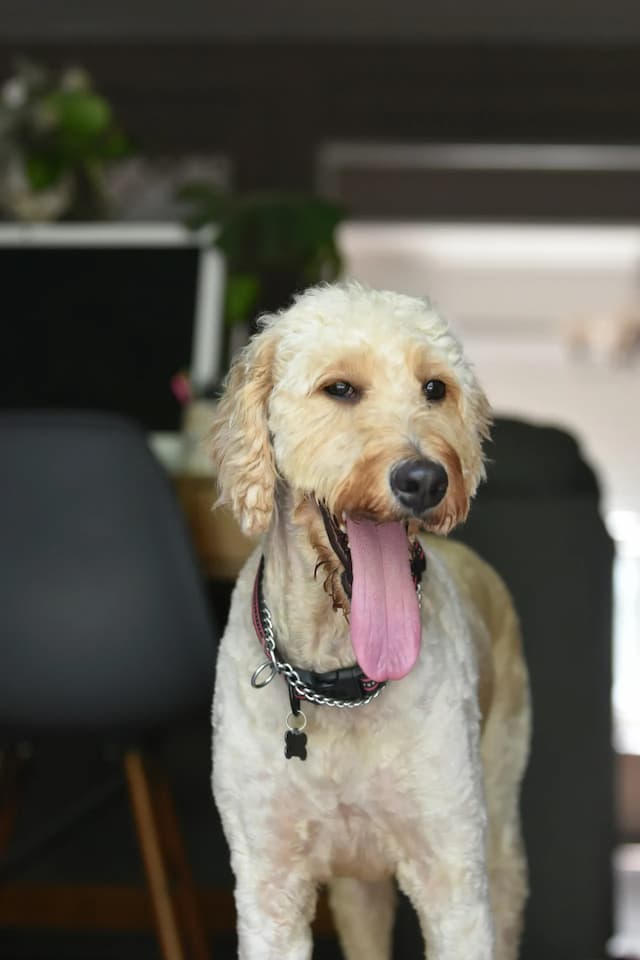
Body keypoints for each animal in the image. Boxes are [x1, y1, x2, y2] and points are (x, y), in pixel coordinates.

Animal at [210, 284, 528, 960]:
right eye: (340, 389)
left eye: (435, 388)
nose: (425, 479)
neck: (338, 681)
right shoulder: (270, 886)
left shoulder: (455, 880)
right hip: (358, 889)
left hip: (501, 826)